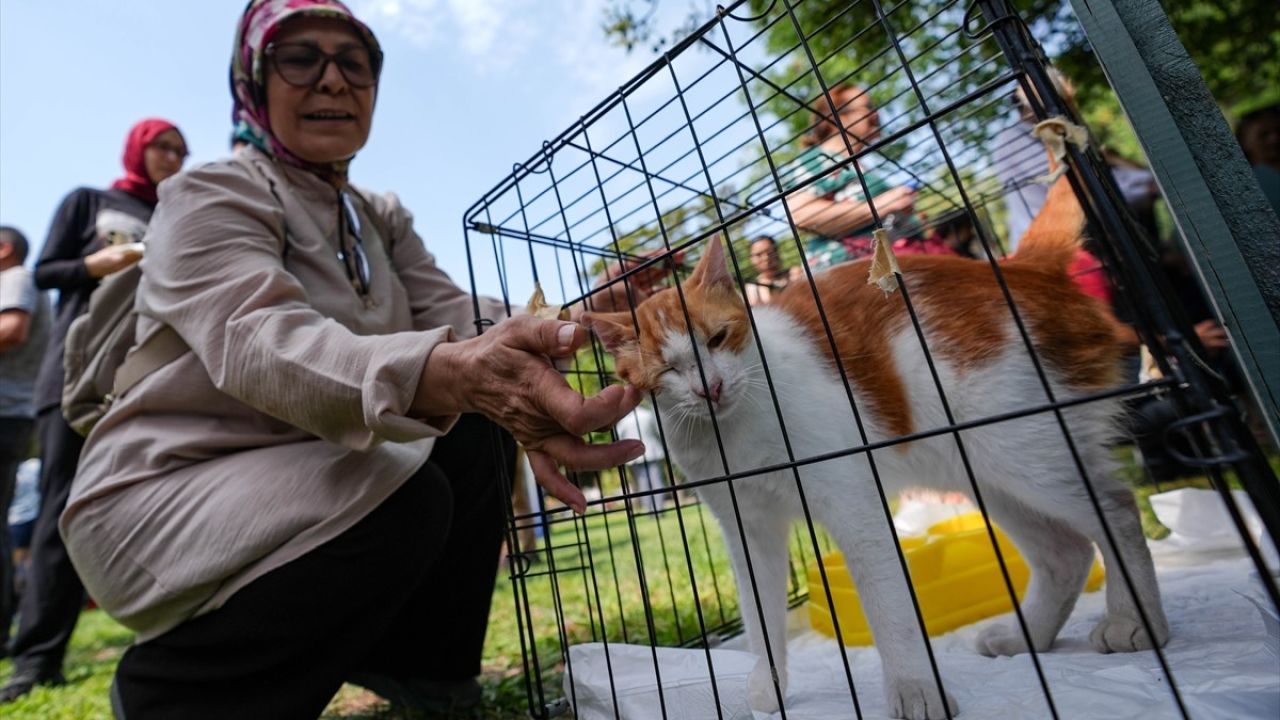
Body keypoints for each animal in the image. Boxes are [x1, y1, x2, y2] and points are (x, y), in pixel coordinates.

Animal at [586, 175, 1172, 717]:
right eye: (668, 371)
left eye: (718, 337)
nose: (710, 387)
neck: (733, 430)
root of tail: (1016, 268)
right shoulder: (747, 527)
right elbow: (760, 613)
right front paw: (768, 685)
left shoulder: (852, 501)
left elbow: (887, 602)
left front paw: (915, 689)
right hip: (983, 466)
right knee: (1065, 552)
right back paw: (1027, 635)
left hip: (1023, 445)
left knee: (1117, 509)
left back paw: (1134, 619)